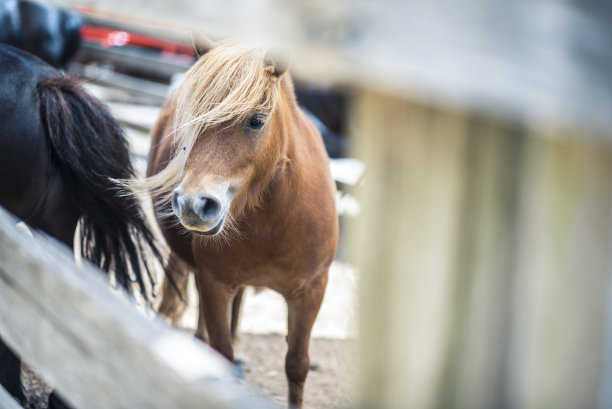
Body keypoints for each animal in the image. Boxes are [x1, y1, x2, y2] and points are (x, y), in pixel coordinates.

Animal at [139, 39, 338, 406]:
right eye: (193, 120)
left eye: (256, 121)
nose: (193, 204)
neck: (275, 220)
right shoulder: (215, 283)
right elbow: (220, 352)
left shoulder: (311, 291)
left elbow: (297, 366)